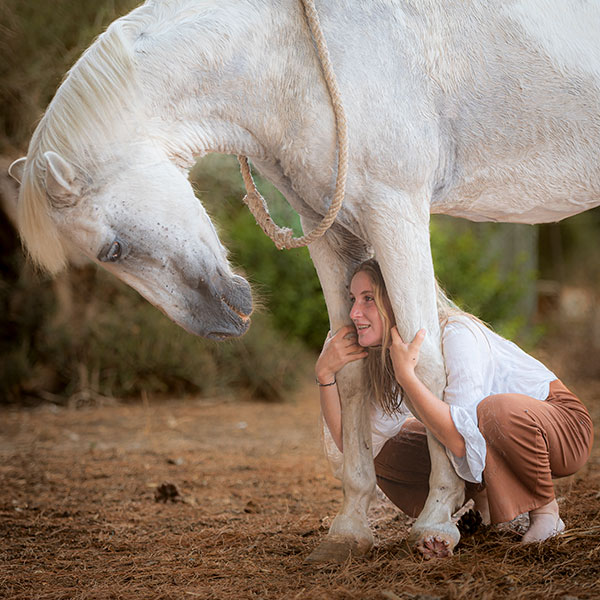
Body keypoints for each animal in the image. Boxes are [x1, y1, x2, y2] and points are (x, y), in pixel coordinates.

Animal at [9, 1, 600, 564]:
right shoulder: (330, 226)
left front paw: (436, 520)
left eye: (112, 250)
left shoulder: (397, 210)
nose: (219, 325)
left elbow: (429, 367)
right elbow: (352, 370)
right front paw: (350, 529)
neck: (294, 58)